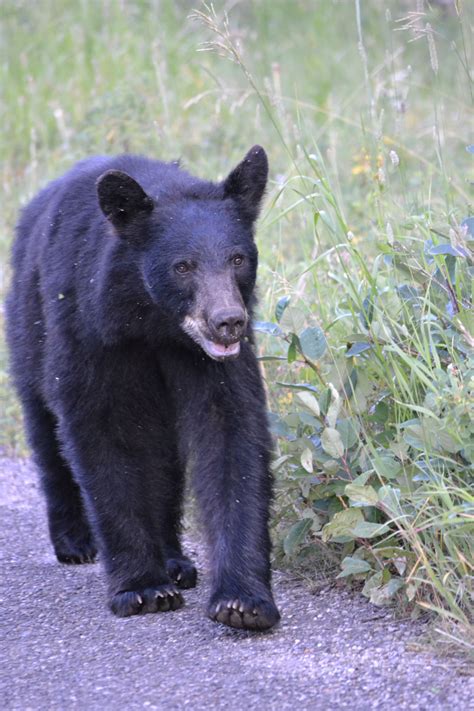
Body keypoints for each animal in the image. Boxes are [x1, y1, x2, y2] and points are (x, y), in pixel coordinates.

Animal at [5, 143, 280, 628]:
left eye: (238, 259)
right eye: (183, 266)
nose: (228, 321)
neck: (151, 324)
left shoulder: (212, 362)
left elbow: (231, 435)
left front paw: (242, 601)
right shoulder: (89, 330)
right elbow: (101, 435)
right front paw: (142, 588)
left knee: (163, 459)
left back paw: (175, 560)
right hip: (29, 324)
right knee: (45, 428)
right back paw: (74, 540)